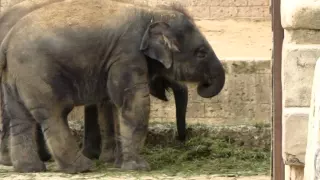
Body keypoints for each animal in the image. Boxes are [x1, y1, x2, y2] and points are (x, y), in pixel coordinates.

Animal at [0, 0, 225, 174]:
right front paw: (139, 167)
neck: (151, 13)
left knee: (20, 117)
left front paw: (118, 164)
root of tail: (7, 42)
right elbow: (133, 103)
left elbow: (118, 104)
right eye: (201, 53)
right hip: (37, 73)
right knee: (54, 114)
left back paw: (29, 168)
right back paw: (81, 167)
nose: (181, 140)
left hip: (15, 77)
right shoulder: (126, 55)